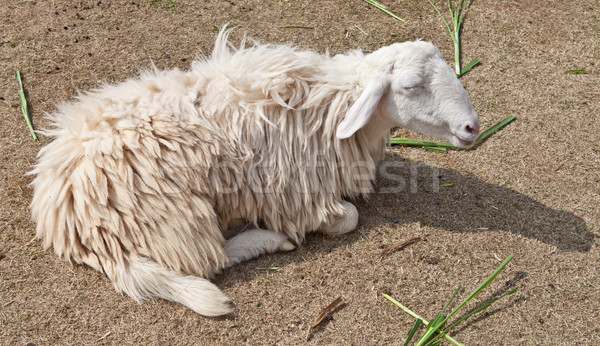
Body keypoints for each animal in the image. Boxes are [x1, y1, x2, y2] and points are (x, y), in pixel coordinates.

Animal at [28, 27, 480, 318]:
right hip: (175, 215)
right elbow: (347, 218)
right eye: (411, 86)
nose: (472, 127)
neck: (329, 105)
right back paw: (265, 240)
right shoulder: (293, 192)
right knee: (207, 262)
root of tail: (69, 225)